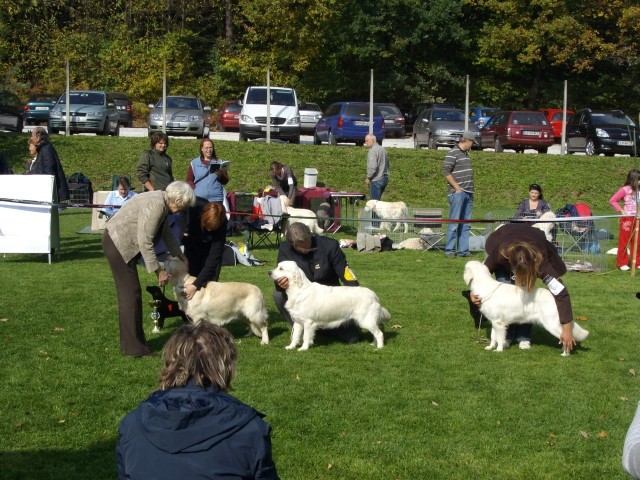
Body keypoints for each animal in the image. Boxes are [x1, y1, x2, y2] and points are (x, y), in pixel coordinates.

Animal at [460, 260, 592, 354]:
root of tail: (553, 297)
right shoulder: (494, 322)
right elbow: (493, 337)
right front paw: (490, 347)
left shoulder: (499, 323)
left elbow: (500, 338)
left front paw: (499, 350)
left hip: (551, 324)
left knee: (566, 337)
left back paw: (565, 354)